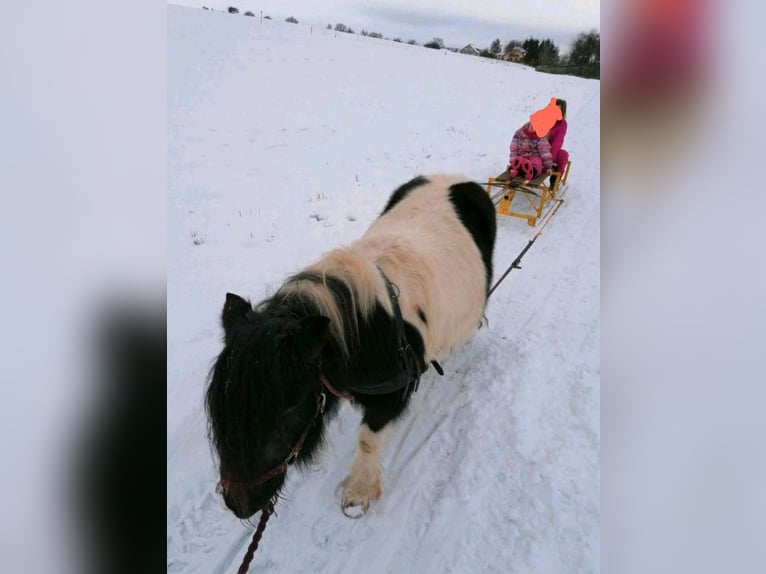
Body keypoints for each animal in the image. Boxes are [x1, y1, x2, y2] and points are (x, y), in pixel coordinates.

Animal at [207, 173, 498, 520]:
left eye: (287, 412)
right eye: (218, 409)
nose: (238, 505)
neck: (367, 329)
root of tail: (455, 178)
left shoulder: (391, 396)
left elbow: (369, 440)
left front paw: (358, 492)